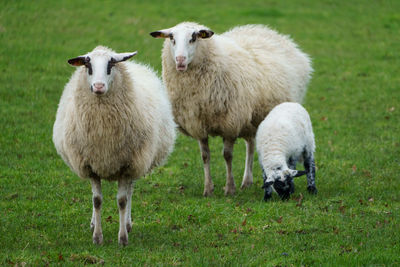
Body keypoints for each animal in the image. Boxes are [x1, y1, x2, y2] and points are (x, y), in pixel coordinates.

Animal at [53, 46, 177, 247]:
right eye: (87, 65)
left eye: (110, 65)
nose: (98, 86)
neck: (103, 131)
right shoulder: (91, 165)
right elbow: (96, 200)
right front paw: (97, 237)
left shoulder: (127, 166)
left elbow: (122, 201)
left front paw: (123, 238)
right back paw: (93, 223)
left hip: (137, 162)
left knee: (130, 192)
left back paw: (127, 224)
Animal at [150, 22, 312, 197]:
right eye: (171, 38)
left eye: (193, 38)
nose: (180, 60)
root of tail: (275, 34)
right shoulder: (199, 125)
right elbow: (205, 156)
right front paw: (208, 189)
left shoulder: (230, 124)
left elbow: (227, 156)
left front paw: (229, 188)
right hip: (251, 119)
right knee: (251, 144)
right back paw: (247, 181)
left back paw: (246, 181)